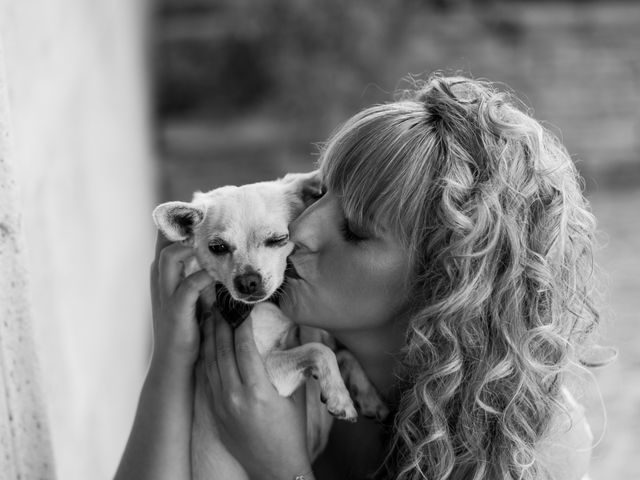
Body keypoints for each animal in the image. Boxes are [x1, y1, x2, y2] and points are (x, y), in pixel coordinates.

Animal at [152, 172, 388, 480]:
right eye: (217, 248)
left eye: (279, 239)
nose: (248, 281)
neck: (273, 308)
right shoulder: (267, 372)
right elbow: (320, 350)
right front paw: (340, 396)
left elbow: (341, 352)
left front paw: (368, 394)